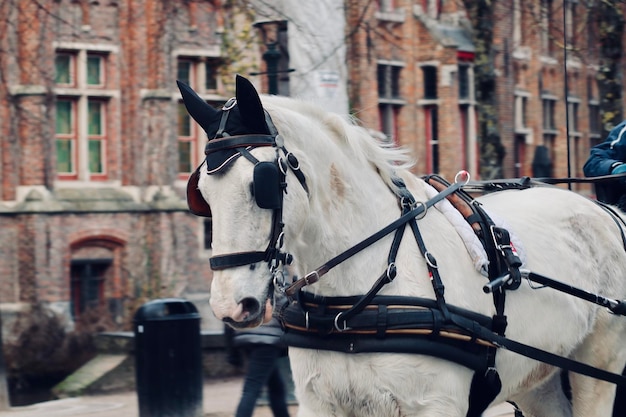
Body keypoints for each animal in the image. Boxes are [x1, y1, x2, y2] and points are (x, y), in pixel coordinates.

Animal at [177, 75, 624, 416]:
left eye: (263, 185)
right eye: (201, 194)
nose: (230, 305)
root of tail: (606, 212)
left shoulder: (434, 406)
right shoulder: (322, 404)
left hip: (597, 369)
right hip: (537, 379)